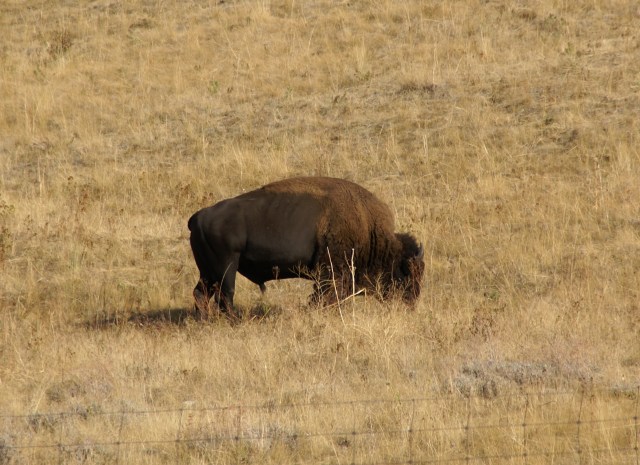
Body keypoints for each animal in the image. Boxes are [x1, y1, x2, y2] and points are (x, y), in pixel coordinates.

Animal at [188, 177, 424, 316]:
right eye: (406, 272)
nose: (412, 302)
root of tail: (199, 217)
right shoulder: (332, 272)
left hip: (208, 271)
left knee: (201, 293)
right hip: (226, 267)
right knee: (225, 295)